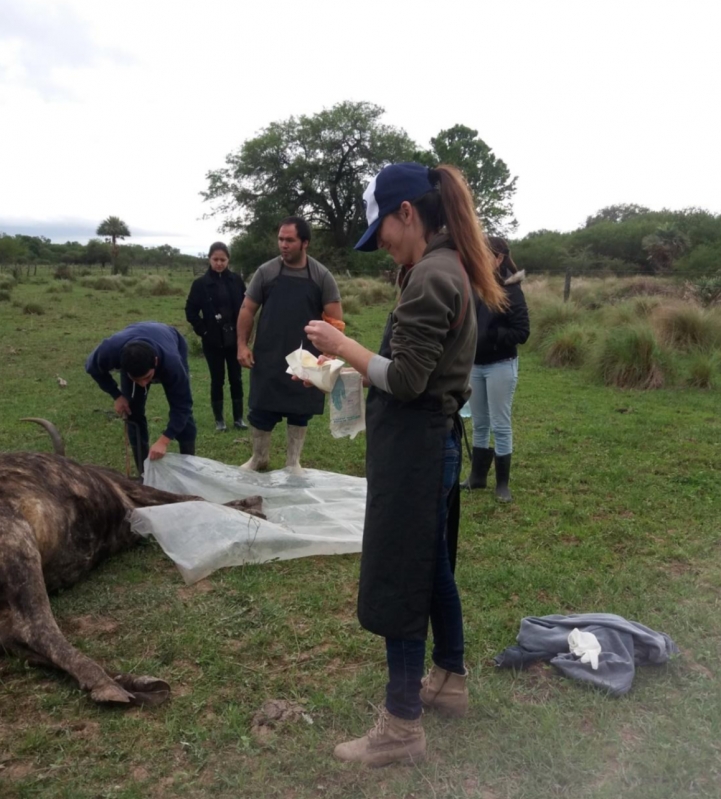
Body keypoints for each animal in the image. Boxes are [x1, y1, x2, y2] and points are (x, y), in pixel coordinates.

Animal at [0, 422, 264, 704]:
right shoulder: (132, 491)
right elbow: (194, 498)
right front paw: (251, 506)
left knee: (16, 641)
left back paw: (135, 683)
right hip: (19, 542)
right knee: (35, 629)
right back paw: (106, 683)